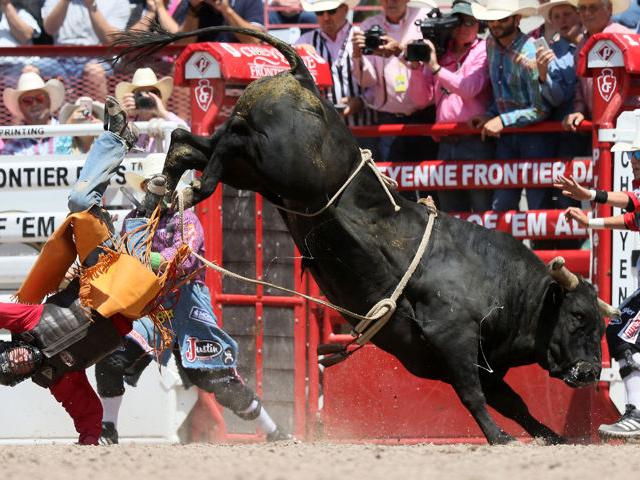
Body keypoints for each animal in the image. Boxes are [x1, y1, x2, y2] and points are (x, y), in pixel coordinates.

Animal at [112, 26, 615, 444]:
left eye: (599, 322)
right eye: (577, 317)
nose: (591, 370)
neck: (501, 282)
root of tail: (302, 77)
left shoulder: (478, 357)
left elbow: (513, 401)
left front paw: (551, 436)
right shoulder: (453, 336)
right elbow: (474, 395)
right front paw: (500, 438)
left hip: (254, 171)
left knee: (189, 141)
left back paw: (170, 186)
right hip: (274, 160)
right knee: (222, 139)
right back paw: (190, 186)